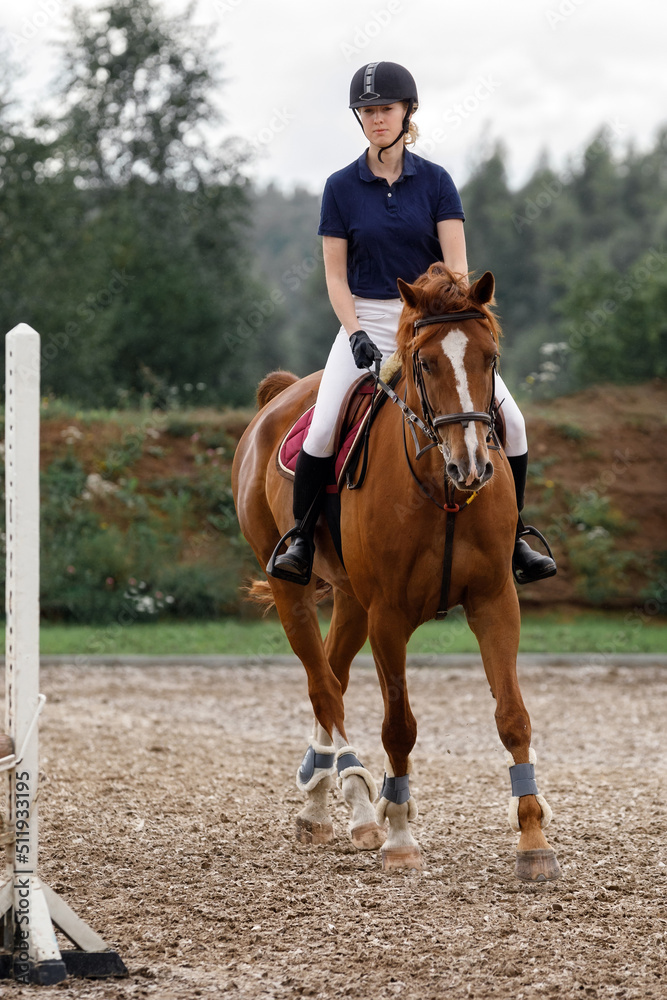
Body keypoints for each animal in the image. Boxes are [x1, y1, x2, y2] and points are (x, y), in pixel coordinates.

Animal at [232, 268, 560, 884]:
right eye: (425, 364)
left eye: (490, 358)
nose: (472, 465)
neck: (442, 490)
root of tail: (279, 397)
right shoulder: (389, 617)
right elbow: (399, 725)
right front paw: (401, 835)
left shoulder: (494, 600)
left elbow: (513, 717)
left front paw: (533, 840)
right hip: (293, 591)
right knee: (324, 687)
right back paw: (359, 803)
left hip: (351, 601)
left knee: (331, 678)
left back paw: (322, 801)